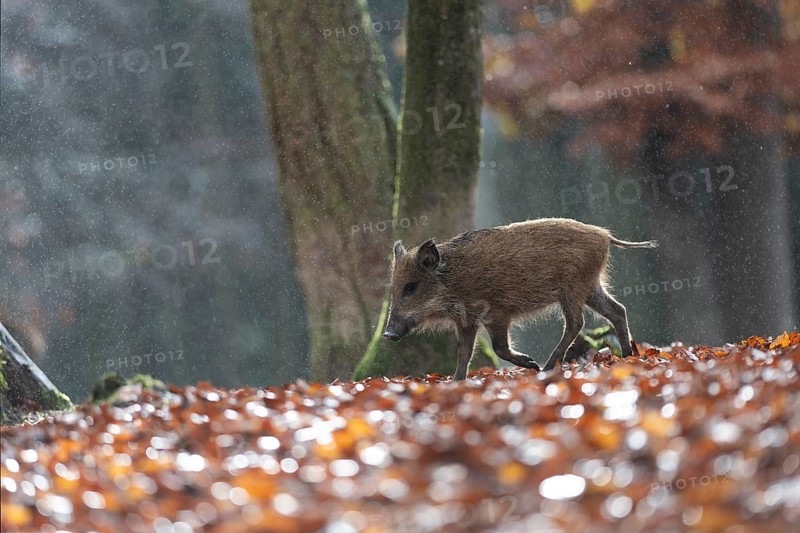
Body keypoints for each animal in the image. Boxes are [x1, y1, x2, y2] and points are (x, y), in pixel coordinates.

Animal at [382, 218, 657, 380]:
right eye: (393, 288)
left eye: (411, 287)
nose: (387, 333)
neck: (452, 280)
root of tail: (605, 236)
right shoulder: (467, 321)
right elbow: (464, 352)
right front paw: (457, 381)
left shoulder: (497, 313)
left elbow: (498, 347)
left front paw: (530, 364)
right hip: (590, 286)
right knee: (617, 310)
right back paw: (626, 356)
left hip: (573, 288)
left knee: (577, 323)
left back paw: (545, 368)